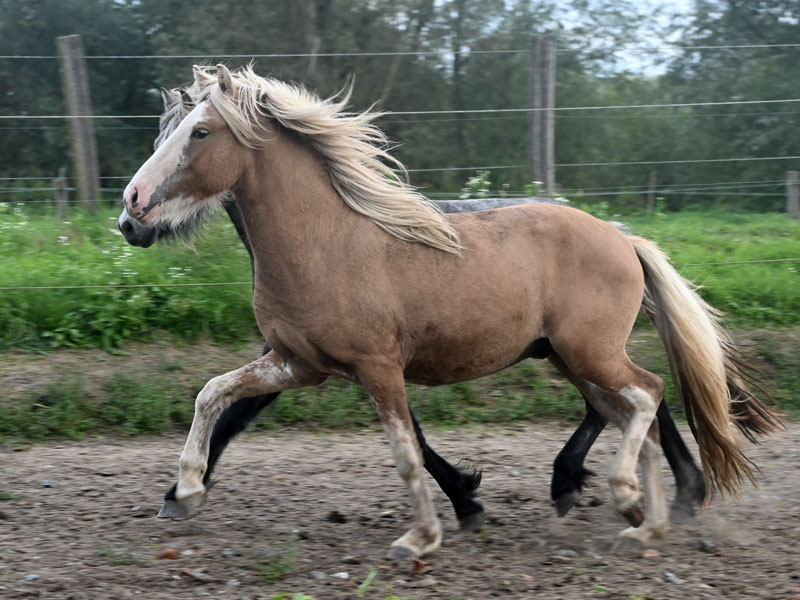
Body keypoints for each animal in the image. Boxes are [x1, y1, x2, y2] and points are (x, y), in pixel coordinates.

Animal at [119, 64, 780, 557]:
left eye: (200, 133)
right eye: (164, 133)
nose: (131, 210)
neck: (327, 245)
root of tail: (623, 238)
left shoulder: (378, 368)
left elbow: (408, 454)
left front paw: (424, 535)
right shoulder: (297, 363)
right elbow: (213, 394)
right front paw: (185, 491)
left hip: (589, 351)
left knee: (647, 394)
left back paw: (627, 498)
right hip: (571, 358)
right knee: (628, 411)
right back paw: (644, 521)